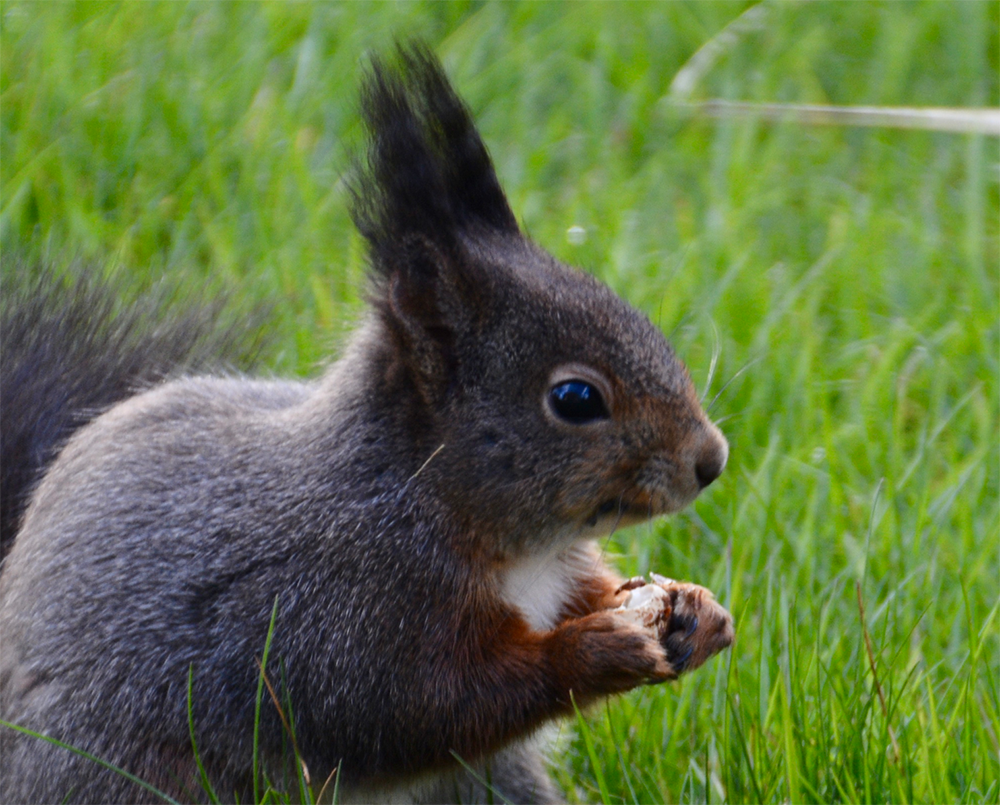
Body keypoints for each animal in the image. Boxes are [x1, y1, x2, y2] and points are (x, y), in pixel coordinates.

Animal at [0, 44, 736, 804]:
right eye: (575, 398)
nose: (710, 459)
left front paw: (693, 608)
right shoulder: (337, 619)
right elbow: (425, 708)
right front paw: (596, 649)